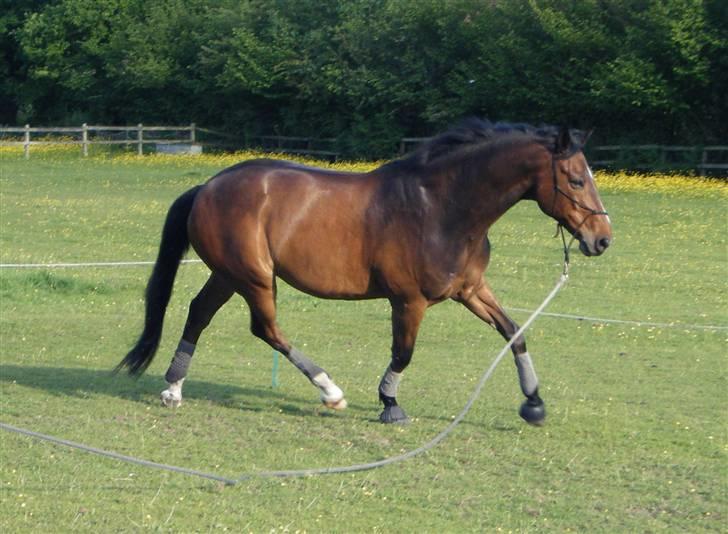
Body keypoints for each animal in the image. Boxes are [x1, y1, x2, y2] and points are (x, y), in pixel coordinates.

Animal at [116, 120, 612, 428]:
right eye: (575, 180)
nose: (602, 239)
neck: (442, 207)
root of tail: (208, 186)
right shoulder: (409, 301)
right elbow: (403, 354)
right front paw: (390, 405)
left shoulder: (471, 290)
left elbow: (514, 333)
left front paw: (534, 403)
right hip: (253, 277)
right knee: (266, 329)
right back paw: (329, 391)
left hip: (227, 275)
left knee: (199, 313)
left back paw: (173, 388)